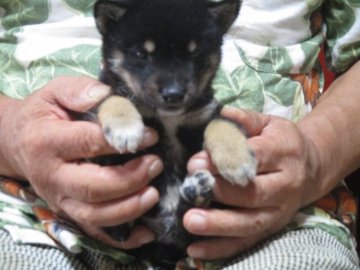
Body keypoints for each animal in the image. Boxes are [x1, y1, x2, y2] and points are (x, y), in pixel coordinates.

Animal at [93, 0, 256, 268]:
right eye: (141, 54)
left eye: (194, 53)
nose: (173, 94)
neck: (167, 119)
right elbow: (115, 96)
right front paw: (125, 127)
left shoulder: (204, 112)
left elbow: (222, 124)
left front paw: (238, 160)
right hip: (126, 231)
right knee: (119, 226)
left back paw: (196, 192)